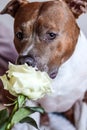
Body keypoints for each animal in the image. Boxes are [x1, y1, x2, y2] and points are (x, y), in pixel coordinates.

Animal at [0, 0, 87, 129]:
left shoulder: (83, 103)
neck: (61, 73)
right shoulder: (30, 105)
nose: (24, 60)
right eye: (19, 35)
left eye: (51, 34)